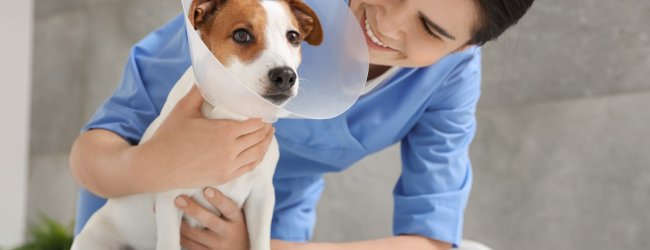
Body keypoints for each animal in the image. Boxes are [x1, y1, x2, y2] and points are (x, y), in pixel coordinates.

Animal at [71, 0, 322, 249]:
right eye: (242, 35)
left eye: (293, 36)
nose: (285, 75)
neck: (231, 114)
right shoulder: (170, 200)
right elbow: (169, 243)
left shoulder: (261, 196)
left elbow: (260, 241)